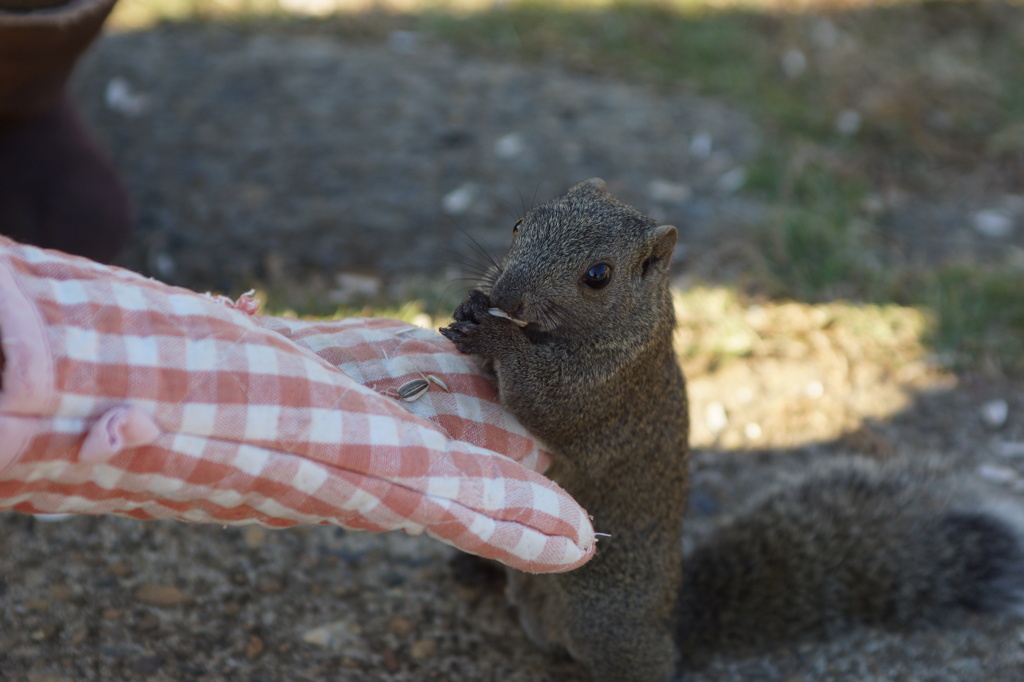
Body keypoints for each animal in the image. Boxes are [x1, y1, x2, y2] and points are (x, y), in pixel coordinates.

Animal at [438, 179, 1024, 679]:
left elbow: (544, 400)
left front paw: (499, 339)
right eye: (520, 224)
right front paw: (472, 306)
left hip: (603, 617)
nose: (506, 296)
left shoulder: (609, 388)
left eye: (598, 275)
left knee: (646, 663)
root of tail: (672, 618)